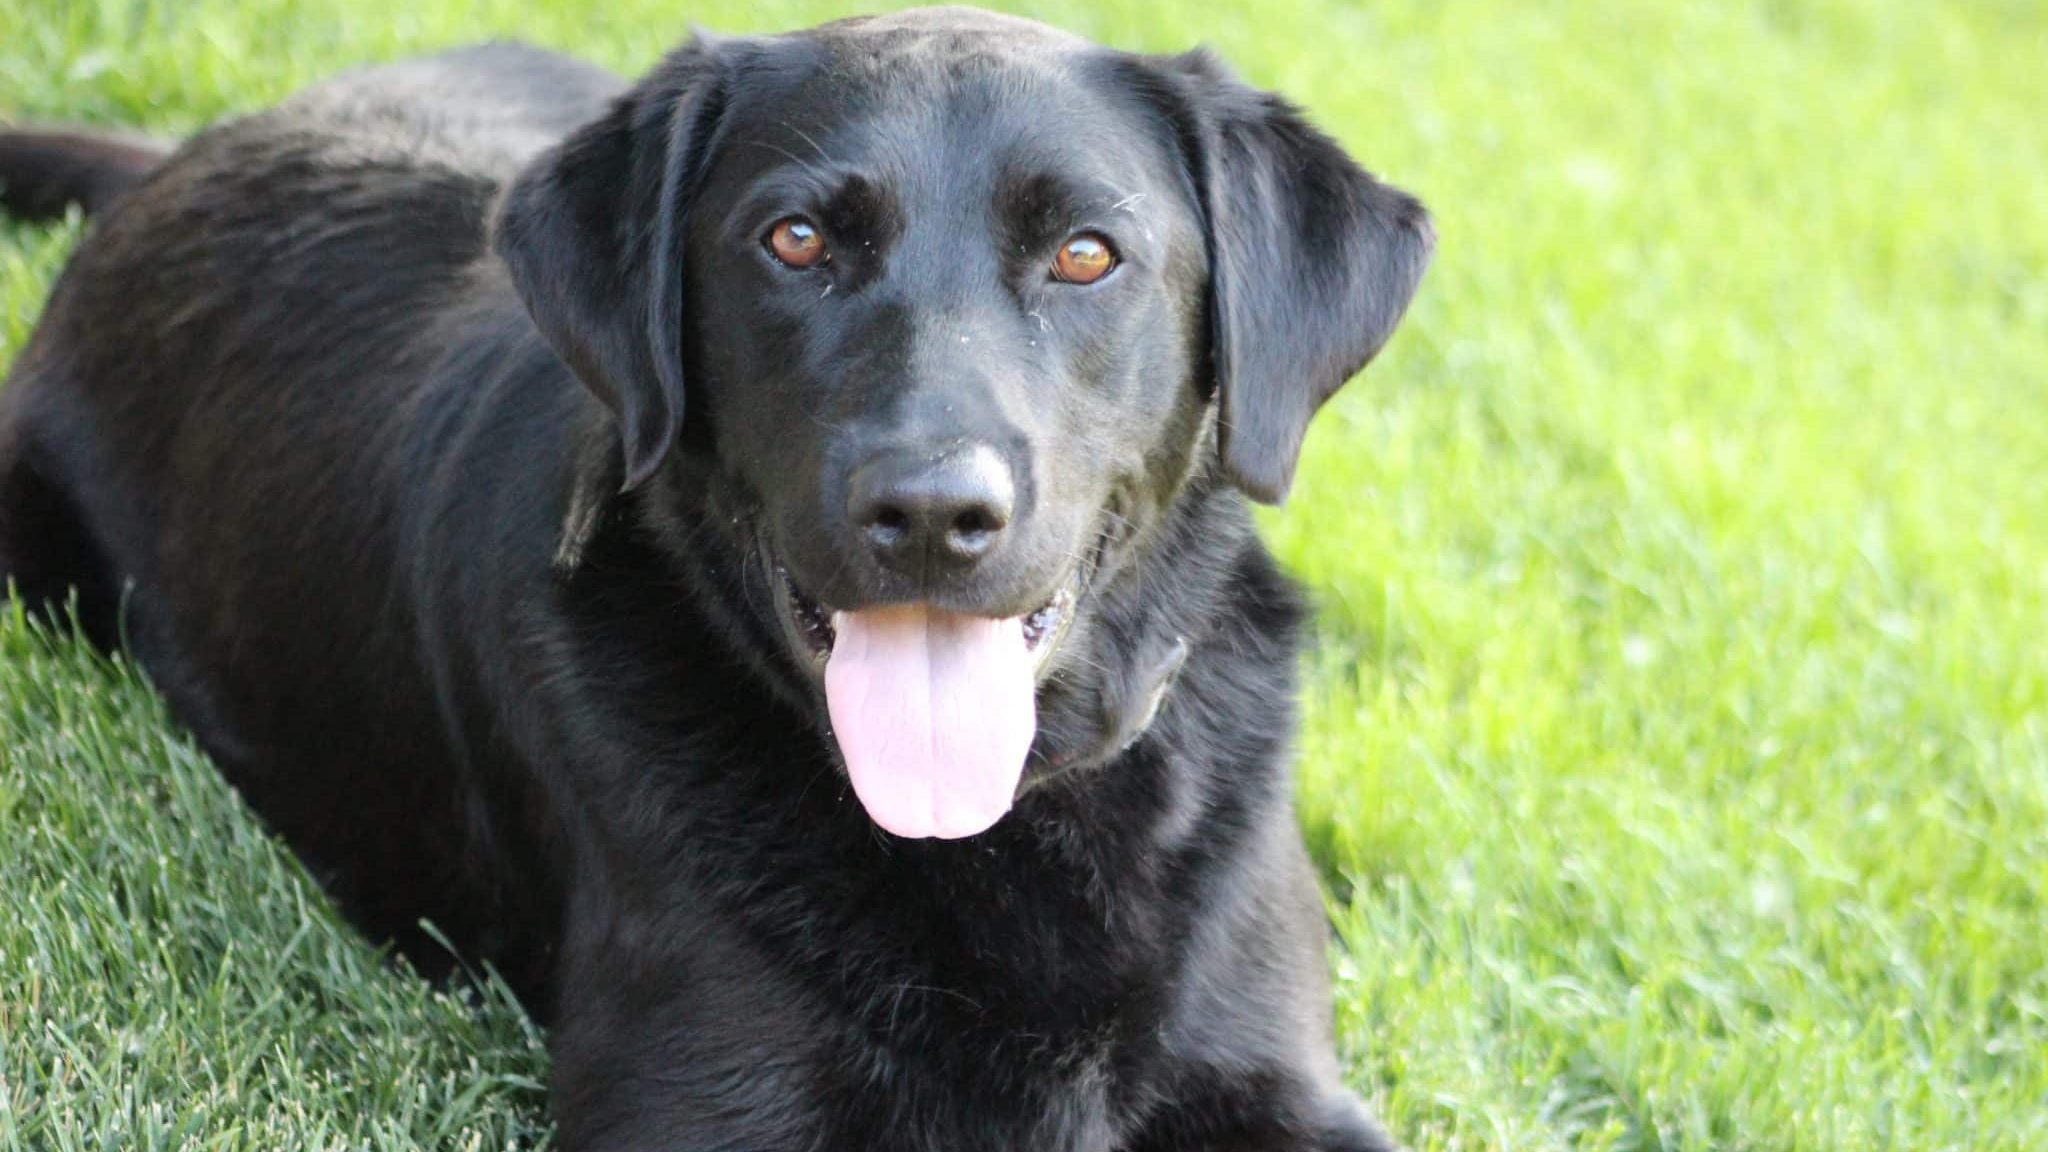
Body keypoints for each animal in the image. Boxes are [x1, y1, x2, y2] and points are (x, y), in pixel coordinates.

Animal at [0, 6, 1433, 1139]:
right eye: (793, 241)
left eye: (1086, 253)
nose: (928, 512)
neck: (1000, 820)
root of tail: (182, 160)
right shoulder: (700, 1101)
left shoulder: (1276, 1075)